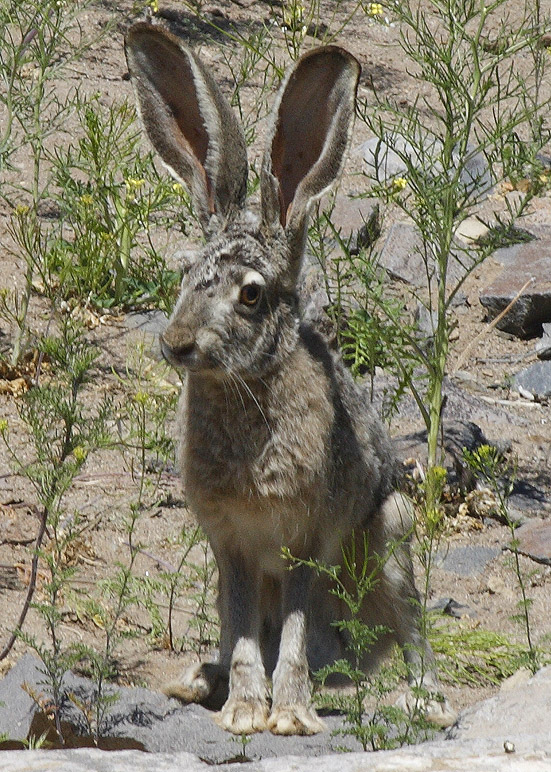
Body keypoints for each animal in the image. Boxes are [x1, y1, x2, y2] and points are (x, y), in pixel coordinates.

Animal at [125, 22, 458, 736]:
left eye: (251, 294)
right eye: (184, 273)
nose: (176, 343)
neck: (249, 386)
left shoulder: (306, 539)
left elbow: (297, 632)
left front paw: (291, 715)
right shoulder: (230, 546)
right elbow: (247, 629)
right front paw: (247, 710)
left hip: (392, 536)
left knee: (407, 631)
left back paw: (421, 700)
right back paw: (202, 679)